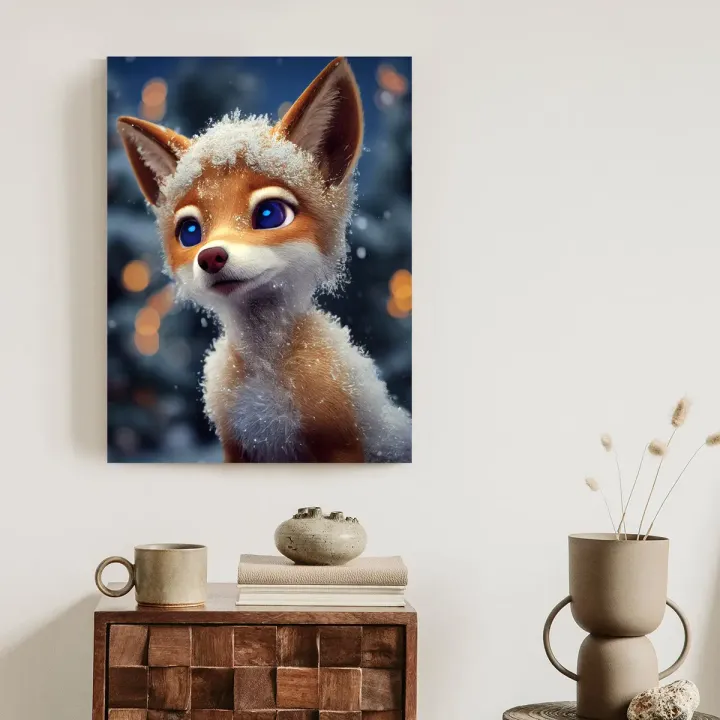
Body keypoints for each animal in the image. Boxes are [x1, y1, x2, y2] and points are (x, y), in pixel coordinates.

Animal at [117, 57, 412, 463]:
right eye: (189, 233)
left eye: (270, 214)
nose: (211, 257)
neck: (265, 377)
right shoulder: (237, 446)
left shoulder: (338, 441)